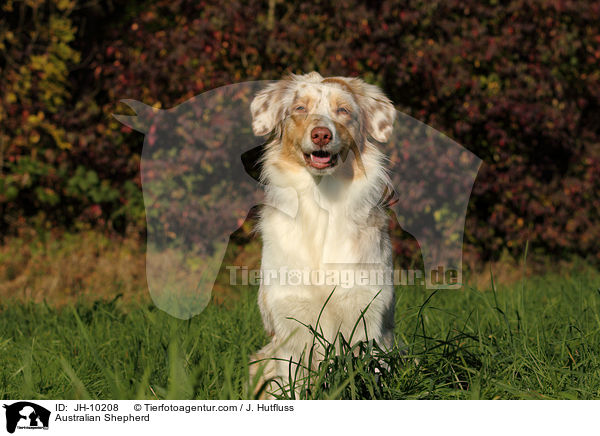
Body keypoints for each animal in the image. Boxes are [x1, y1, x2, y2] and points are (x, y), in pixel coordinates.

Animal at [250, 71, 398, 396]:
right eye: (300, 109)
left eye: (343, 110)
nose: (321, 135)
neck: (322, 203)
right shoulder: (291, 323)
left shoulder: (366, 316)